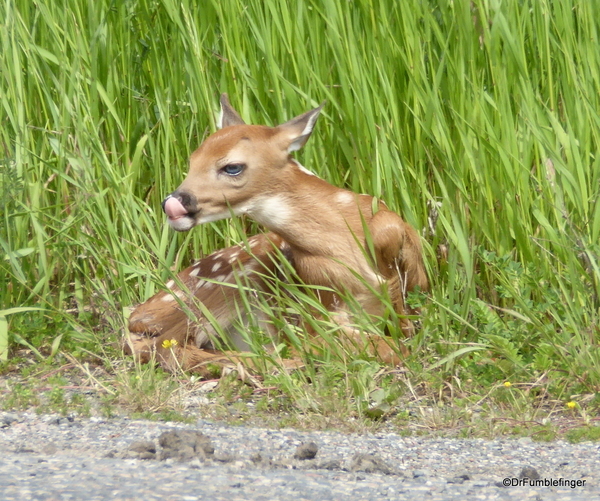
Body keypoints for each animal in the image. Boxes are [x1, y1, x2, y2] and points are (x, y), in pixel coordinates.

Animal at [125, 94, 426, 376]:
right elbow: (384, 347)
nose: (173, 203)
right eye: (192, 161)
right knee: (164, 346)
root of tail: (140, 312)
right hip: (230, 281)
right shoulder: (318, 307)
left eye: (232, 167)